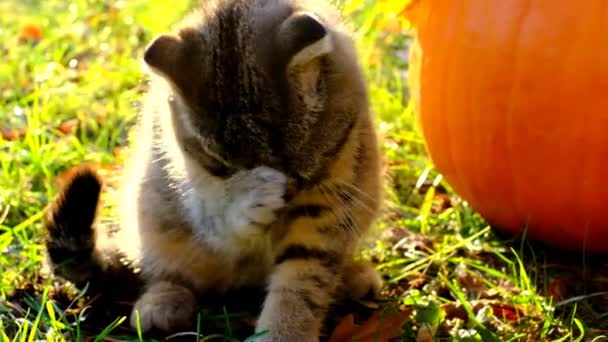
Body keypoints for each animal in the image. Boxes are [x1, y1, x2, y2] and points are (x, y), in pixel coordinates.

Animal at [45, 0, 382, 340]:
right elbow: (218, 212)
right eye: (221, 167)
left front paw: (285, 331)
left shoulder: (330, 201)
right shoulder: (194, 187)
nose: (284, 192)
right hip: (151, 212)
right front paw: (247, 198)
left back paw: (352, 278)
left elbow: (302, 281)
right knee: (162, 270)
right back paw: (161, 304)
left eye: (292, 162)